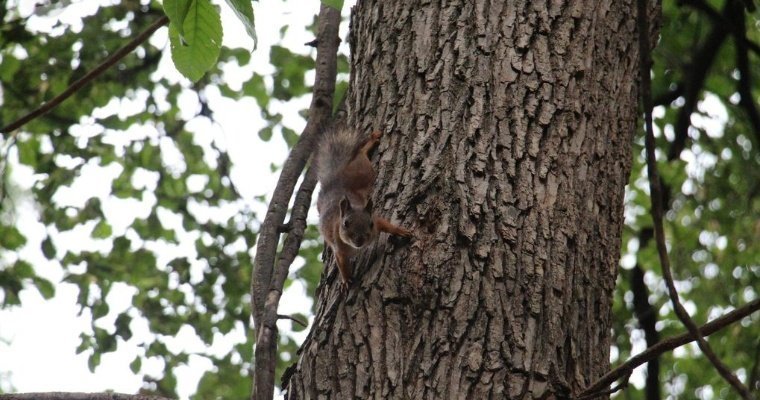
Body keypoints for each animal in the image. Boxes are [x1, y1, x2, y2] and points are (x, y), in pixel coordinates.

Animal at [314, 126, 410, 290]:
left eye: (370, 224)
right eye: (345, 224)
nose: (359, 240)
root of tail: (334, 179)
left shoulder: (376, 222)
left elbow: (386, 224)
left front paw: (400, 231)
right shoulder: (339, 249)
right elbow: (342, 265)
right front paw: (346, 280)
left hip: (363, 172)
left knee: (360, 154)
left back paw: (371, 141)